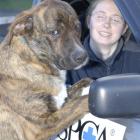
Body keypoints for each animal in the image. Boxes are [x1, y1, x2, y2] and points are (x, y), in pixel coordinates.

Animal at [0, 0, 91, 140]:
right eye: (54, 32)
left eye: (77, 27)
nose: (83, 56)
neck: (36, 61)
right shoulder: (40, 127)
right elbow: (80, 102)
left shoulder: (60, 102)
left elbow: (74, 92)